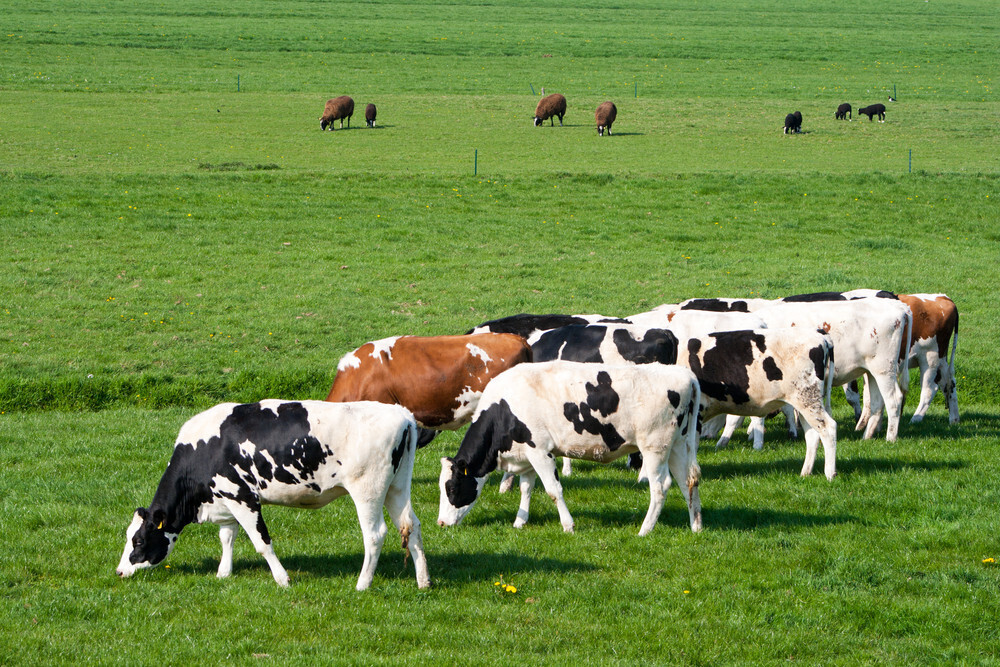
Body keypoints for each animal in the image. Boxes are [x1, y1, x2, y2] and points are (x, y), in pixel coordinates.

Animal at [117, 400, 431, 591]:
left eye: (139, 540)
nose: (119, 572)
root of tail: (402, 414)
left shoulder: (243, 498)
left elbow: (262, 543)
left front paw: (282, 579)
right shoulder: (226, 498)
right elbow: (227, 537)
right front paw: (223, 573)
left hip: (368, 490)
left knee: (375, 534)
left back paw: (362, 584)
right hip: (397, 488)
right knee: (412, 526)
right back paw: (423, 581)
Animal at [437, 361, 703, 535]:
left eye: (451, 488)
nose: (440, 523)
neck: (504, 407)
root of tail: (684, 374)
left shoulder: (540, 450)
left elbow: (553, 490)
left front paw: (568, 525)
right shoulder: (526, 455)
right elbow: (526, 488)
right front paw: (520, 522)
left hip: (655, 448)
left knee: (660, 487)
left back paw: (645, 530)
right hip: (678, 445)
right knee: (688, 481)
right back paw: (696, 526)